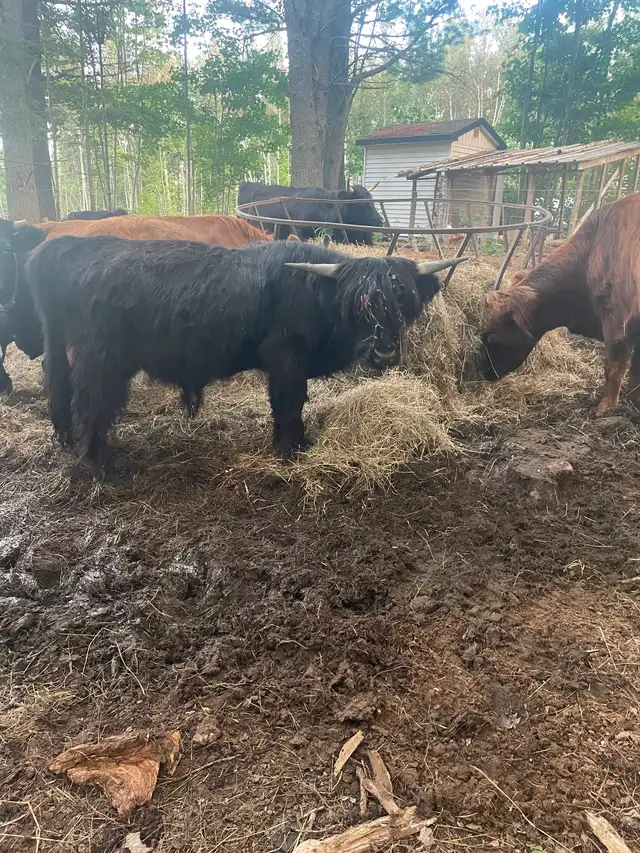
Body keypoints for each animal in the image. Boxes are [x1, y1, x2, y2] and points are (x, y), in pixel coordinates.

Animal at [7, 225, 466, 474]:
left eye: (404, 301)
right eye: (357, 305)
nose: (384, 353)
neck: (314, 294)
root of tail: (68, 245)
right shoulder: (284, 358)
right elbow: (289, 403)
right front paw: (289, 449)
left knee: (60, 390)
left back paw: (69, 442)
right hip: (100, 359)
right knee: (92, 403)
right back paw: (100, 464)